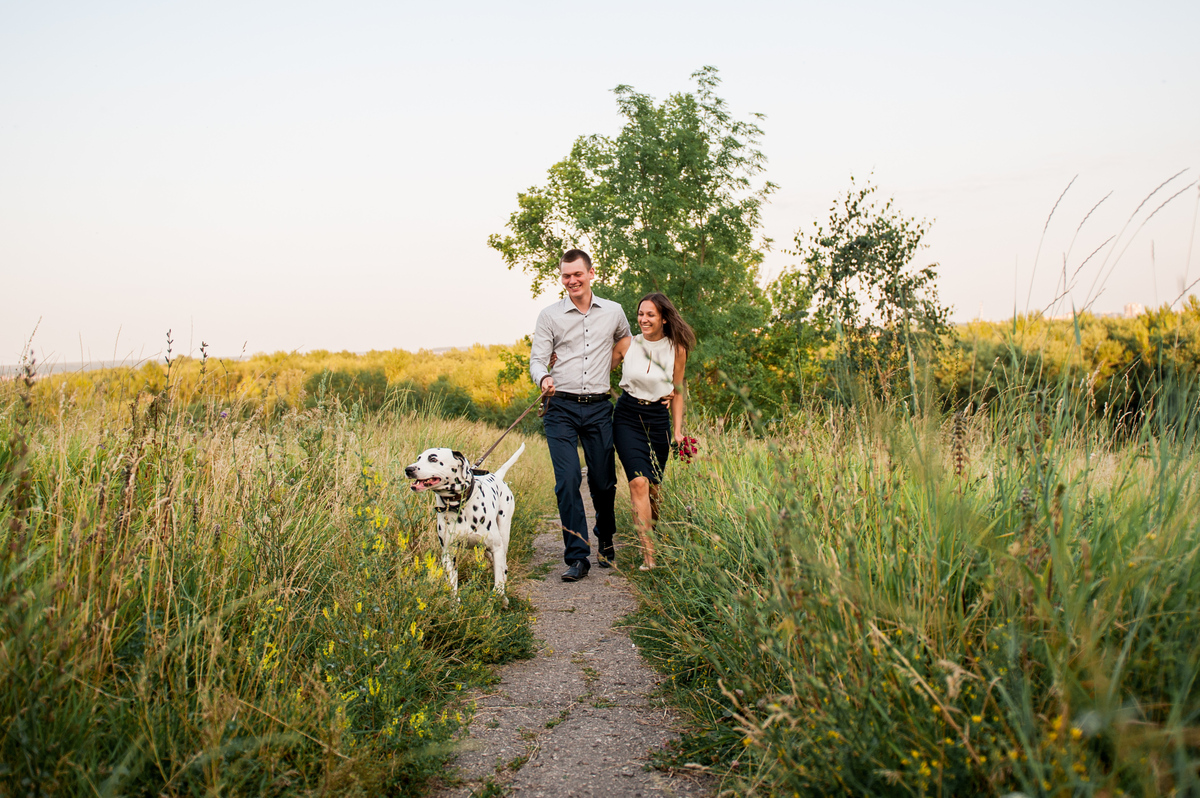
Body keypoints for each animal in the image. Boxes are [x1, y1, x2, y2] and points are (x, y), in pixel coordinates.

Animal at [405, 441, 523, 604]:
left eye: (433, 459)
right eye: (419, 458)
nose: (408, 469)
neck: (460, 505)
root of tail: (496, 475)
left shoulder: (497, 547)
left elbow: (498, 582)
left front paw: (499, 598)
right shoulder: (449, 553)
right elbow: (452, 585)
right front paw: (454, 605)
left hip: (504, 534)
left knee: (503, 563)